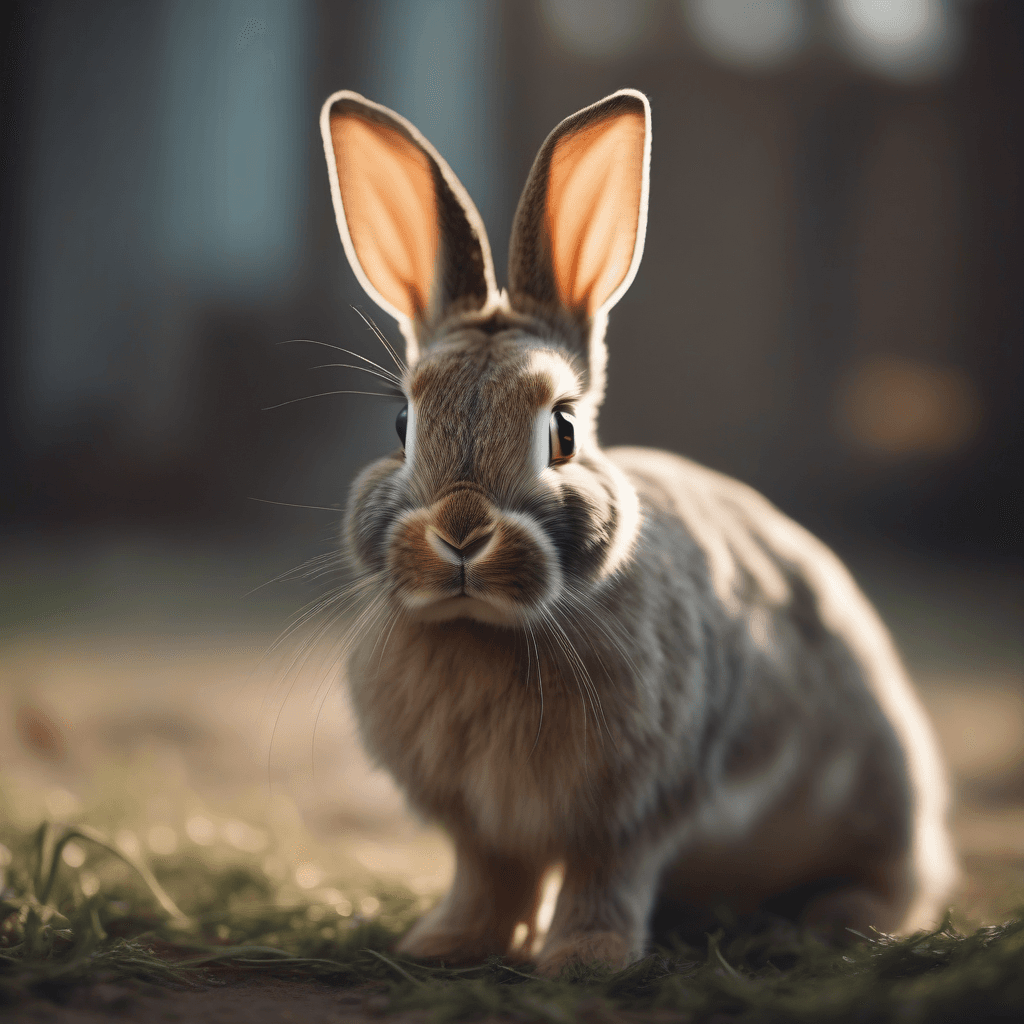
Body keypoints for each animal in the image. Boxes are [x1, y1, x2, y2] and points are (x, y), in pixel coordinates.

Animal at [318, 87, 957, 975]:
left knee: (890, 887)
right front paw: (445, 946)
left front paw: (585, 959)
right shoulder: (483, 831)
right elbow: (489, 879)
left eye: (563, 430)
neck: (490, 632)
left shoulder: (632, 812)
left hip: (880, 804)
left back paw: (828, 921)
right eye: (401, 424)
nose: (461, 533)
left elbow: (604, 876)